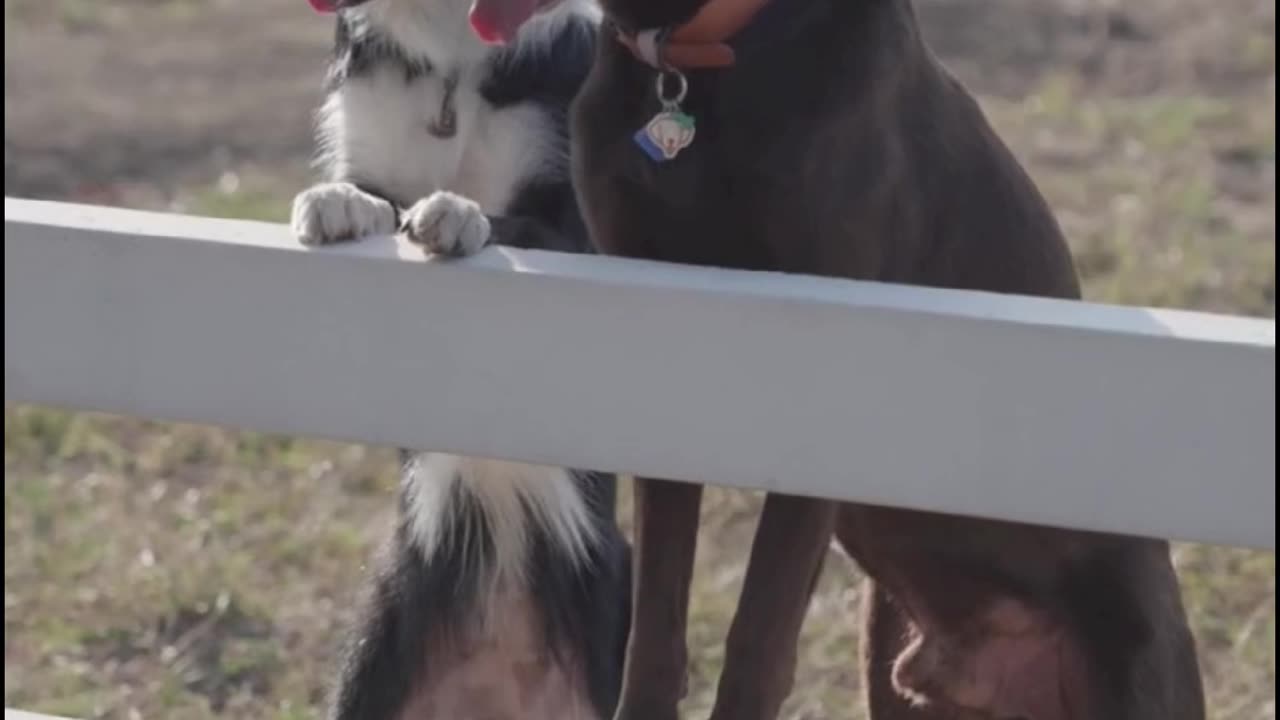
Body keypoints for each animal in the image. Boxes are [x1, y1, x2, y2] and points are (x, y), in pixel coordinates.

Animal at [289, 2, 629, 712]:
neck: (449, 62)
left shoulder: (574, 230)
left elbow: (515, 225)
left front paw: (458, 212)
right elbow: (367, 193)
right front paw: (340, 203)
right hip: (374, 649)